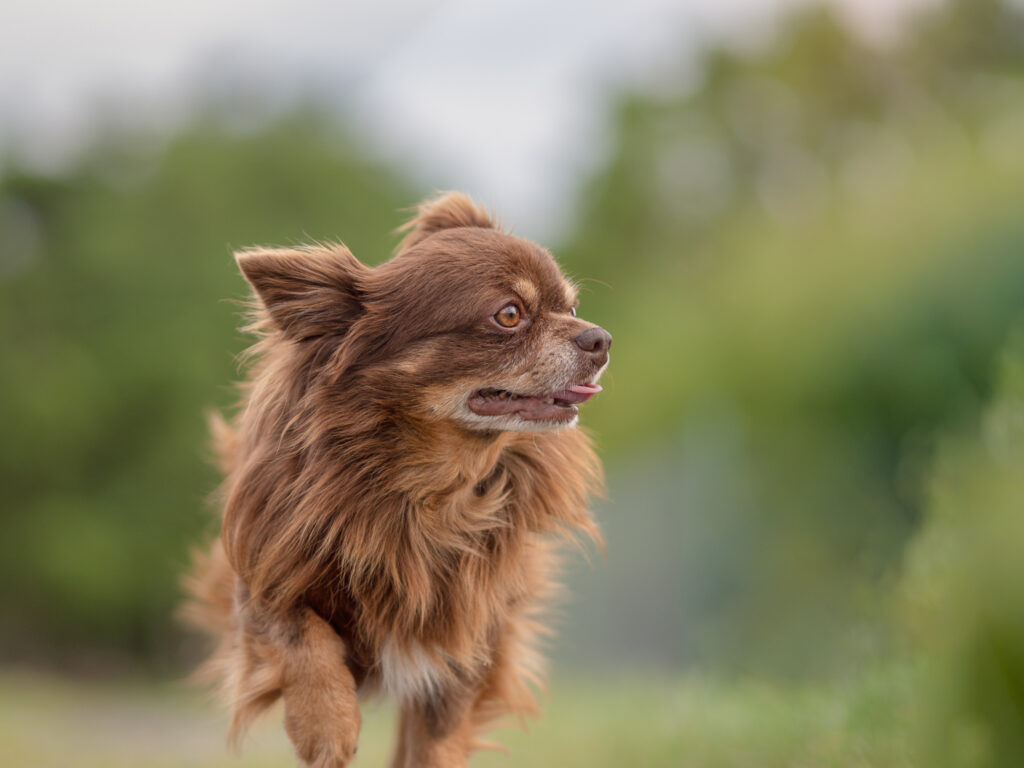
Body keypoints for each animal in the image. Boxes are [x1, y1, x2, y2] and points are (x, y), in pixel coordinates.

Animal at [183, 189, 610, 765]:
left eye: (572, 308)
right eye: (509, 315)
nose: (600, 338)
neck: (428, 488)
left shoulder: (465, 640)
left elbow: (433, 743)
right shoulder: (264, 574)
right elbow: (298, 634)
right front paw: (325, 723)